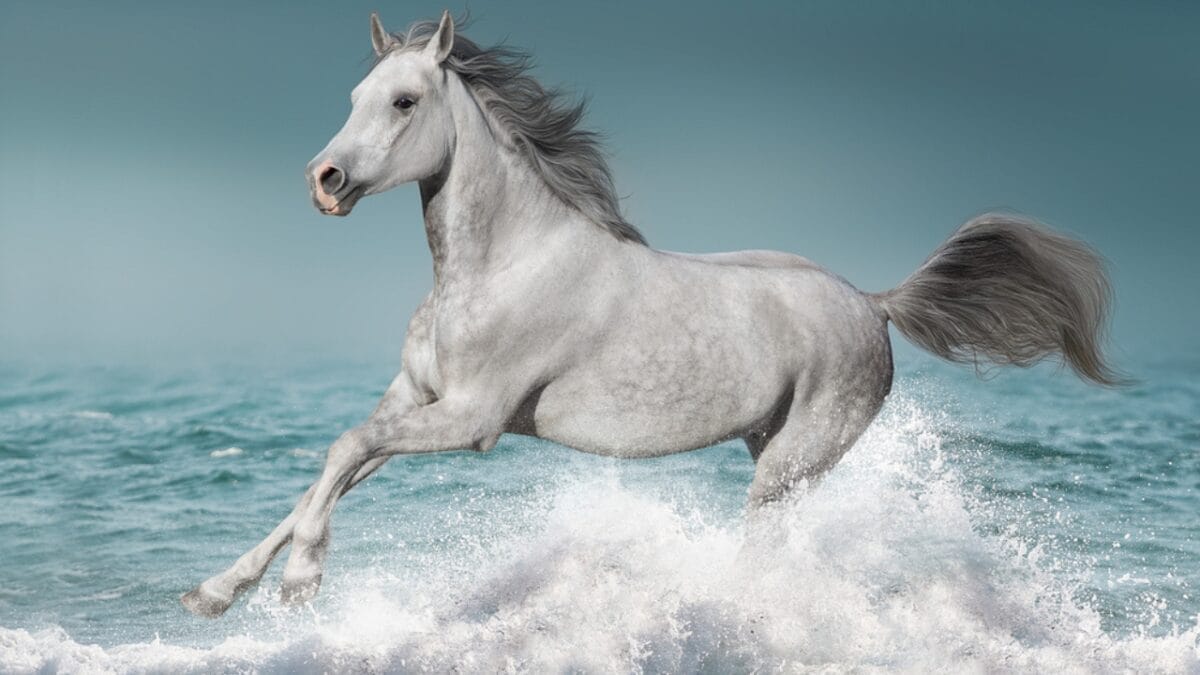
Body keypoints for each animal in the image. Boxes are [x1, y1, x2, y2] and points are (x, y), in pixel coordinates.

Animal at [182, 11, 1118, 618]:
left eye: (405, 102)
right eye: (354, 94)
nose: (325, 180)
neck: (501, 265)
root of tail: (872, 302)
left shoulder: (472, 419)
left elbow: (343, 450)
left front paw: (301, 583)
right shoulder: (414, 400)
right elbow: (334, 465)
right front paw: (219, 591)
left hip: (789, 468)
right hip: (773, 449)